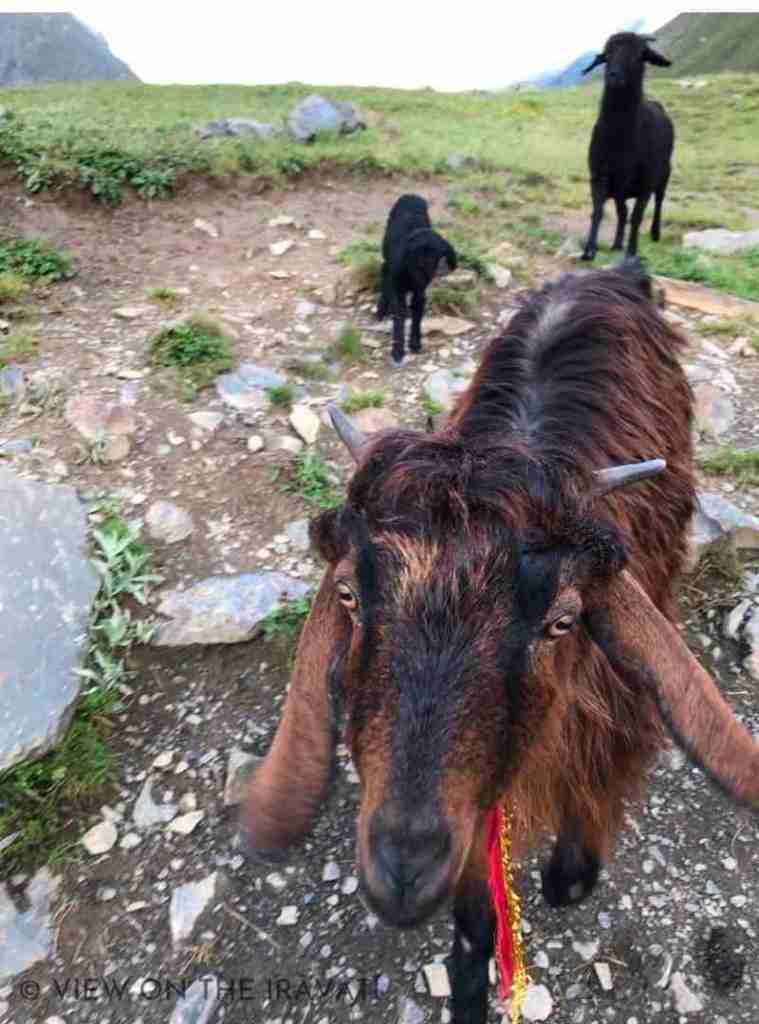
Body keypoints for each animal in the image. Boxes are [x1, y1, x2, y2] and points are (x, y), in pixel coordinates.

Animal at [376, 194, 457, 366]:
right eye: (416, 256)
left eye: (436, 256)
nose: (422, 274)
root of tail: (411, 195)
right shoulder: (398, 286)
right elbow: (398, 318)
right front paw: (397, 352)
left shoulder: (420, 292)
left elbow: (417, 314)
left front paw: (415, 344)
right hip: (387, 257)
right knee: (384, 272)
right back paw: (381, 309)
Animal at [581, 32, 673, 261]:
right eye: (607, 54)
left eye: (640, 55)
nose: (613, 75)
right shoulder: (600, 177)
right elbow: (599, 212)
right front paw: (589, 250)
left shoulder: (645, 182)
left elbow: (637, 216)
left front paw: (632, 251)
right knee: (622, 213)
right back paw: (616, 244)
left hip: (665, 173)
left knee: (659, 202)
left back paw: (655, 233)